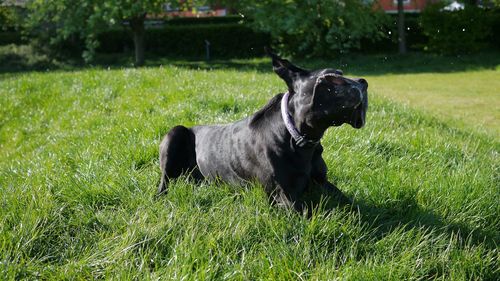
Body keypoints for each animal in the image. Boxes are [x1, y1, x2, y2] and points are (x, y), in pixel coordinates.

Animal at [158, 50, 370, 209]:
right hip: (175, 133)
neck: (299, 139)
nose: (363, 82)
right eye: (331, 78)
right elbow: (308, 213)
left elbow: (353, 205)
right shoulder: (284, 195)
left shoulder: (322, 181)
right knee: (164, 180)